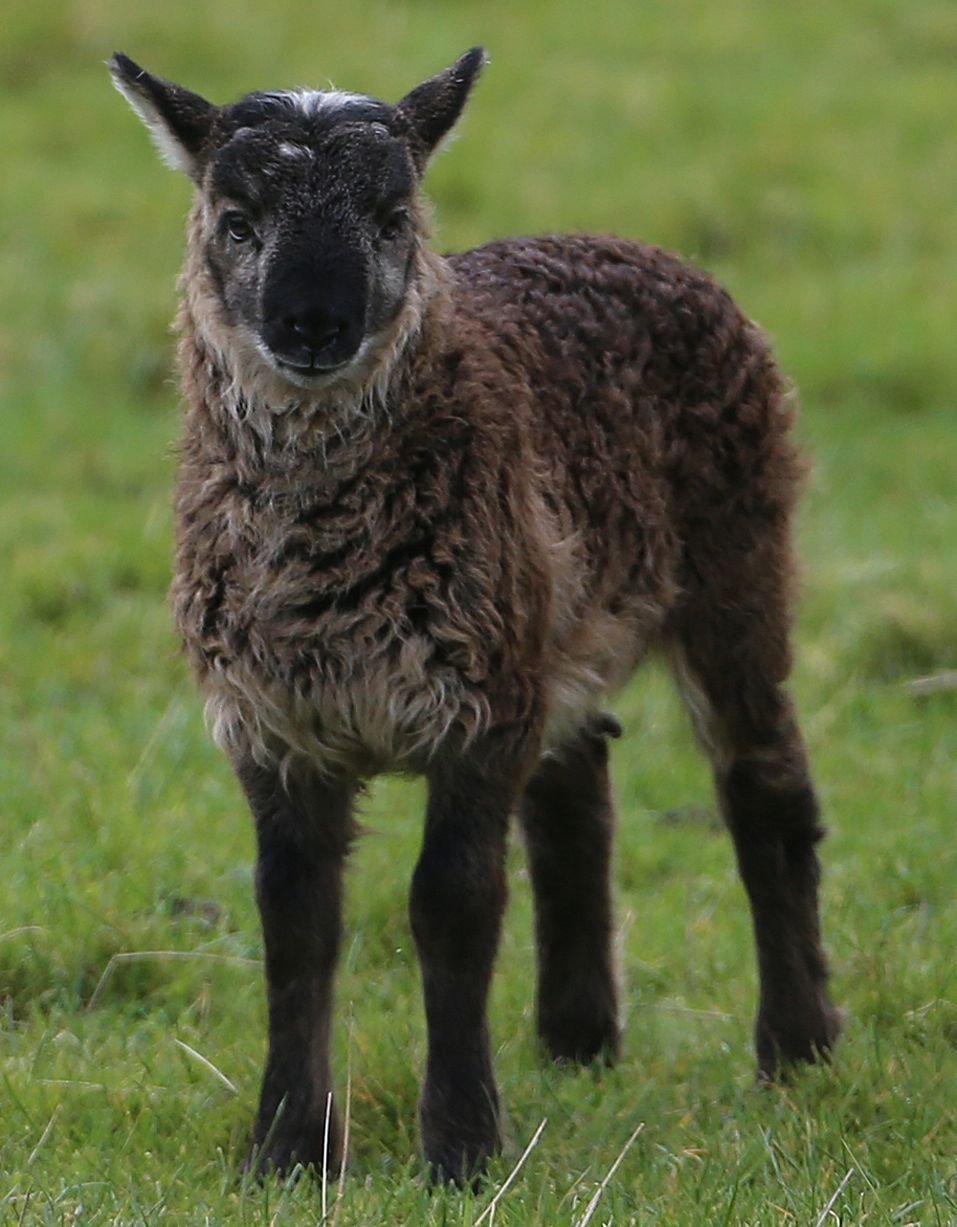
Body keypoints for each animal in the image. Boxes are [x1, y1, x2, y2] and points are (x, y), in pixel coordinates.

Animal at [110, 50, 839, 1187]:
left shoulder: (475, 709)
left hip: (738, 556)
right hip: (545, 618)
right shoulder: (273, 720)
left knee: (766, 787)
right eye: (235, 218)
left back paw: (796, 1046)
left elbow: (450, 905)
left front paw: (459, 1146)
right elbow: (294, 918)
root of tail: (628, 245)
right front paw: (287, 1150)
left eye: (392, 216)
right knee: (577, 795)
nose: (313, 324)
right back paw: (578, 1039)